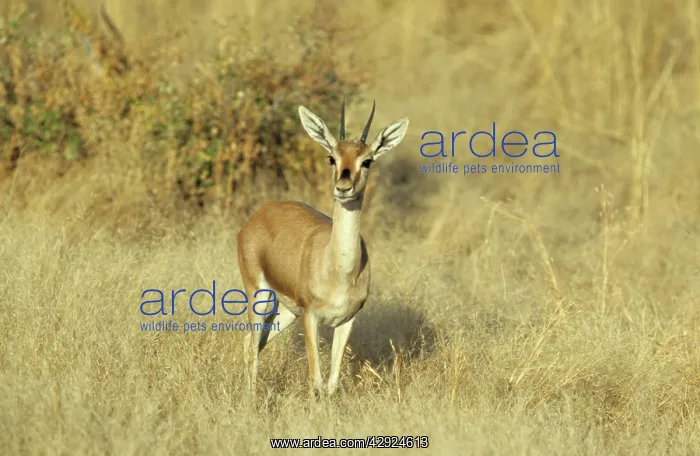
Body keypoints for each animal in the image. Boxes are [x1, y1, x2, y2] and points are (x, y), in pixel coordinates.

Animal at [237, 99, 409, 397]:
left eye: (367, 160)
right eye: (332, 157)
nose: (343, 187)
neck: (338, 269)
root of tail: (259, 214)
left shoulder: (346, 321)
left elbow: (332, 383)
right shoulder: (312, 317)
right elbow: (315, 379)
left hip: (288, 311)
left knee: (255, 340)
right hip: (259, 295)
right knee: (252, 341)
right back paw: (251, 396)